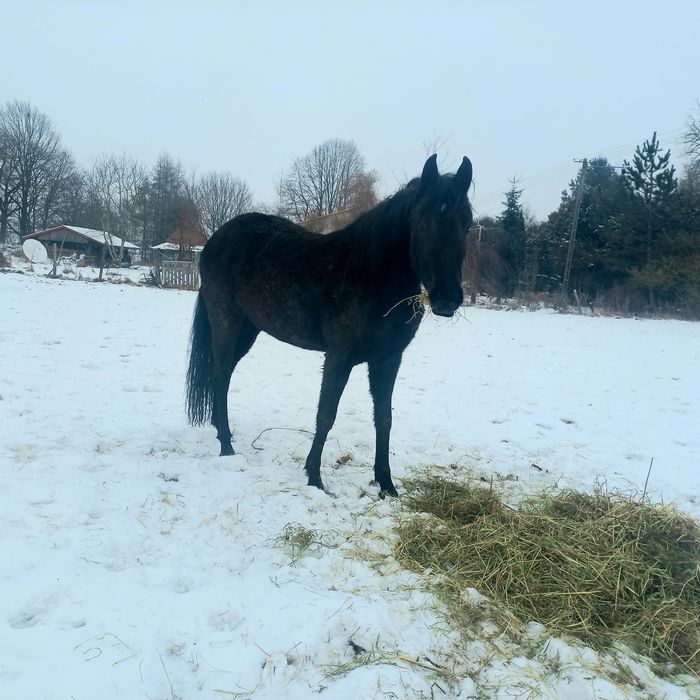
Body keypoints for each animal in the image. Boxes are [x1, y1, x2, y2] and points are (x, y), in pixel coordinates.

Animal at [186, 154, 473, 497]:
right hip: (227, 323)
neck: (371, 277)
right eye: (422, 222)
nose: (447, 300)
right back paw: (226, 447)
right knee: (219, 376)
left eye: (467, 224)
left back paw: (222, 432)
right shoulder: (339, 357)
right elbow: (326, 415)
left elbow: (384, 418)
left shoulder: (387, 360)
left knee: (222, 376)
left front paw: (387, 484)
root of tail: (216, 240)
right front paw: (314, 478)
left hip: (248, 330)